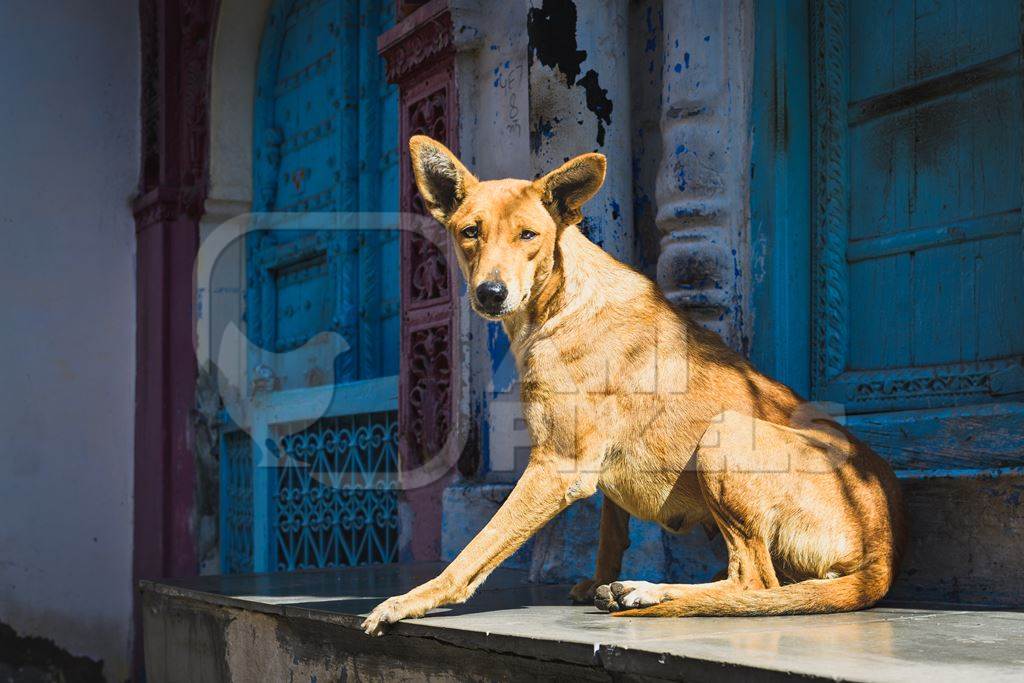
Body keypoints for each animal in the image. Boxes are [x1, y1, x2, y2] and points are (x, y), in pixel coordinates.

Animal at [360, 136, 905, 638]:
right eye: (469, 232)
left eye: (528, 235)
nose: (490, 294)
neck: (560, 303)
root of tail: (884, 550)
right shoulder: (591, 472)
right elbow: (609, 531)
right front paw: (596, 579)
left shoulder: (556, 466)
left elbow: (477, 550)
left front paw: (412, 599)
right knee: (759, 579)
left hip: (723, 435)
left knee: (754, 581)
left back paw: (646, 591)